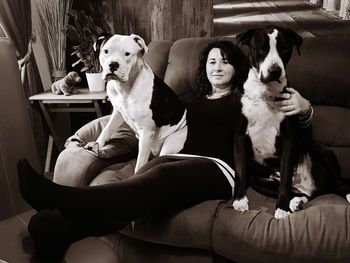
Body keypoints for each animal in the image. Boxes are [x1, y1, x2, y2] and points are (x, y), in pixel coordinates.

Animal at [231, 25, 348, 220]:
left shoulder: (288, 139)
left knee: (339, 185)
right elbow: (240, 169)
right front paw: (240, 200)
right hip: (260, 182)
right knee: (306, 193)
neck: (265, 92)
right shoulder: (239, 135)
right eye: (261, 49)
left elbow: (285, 178)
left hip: (322, 151)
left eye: (284, 49)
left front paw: (282, 208)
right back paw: (297, 201)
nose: (275, 70)